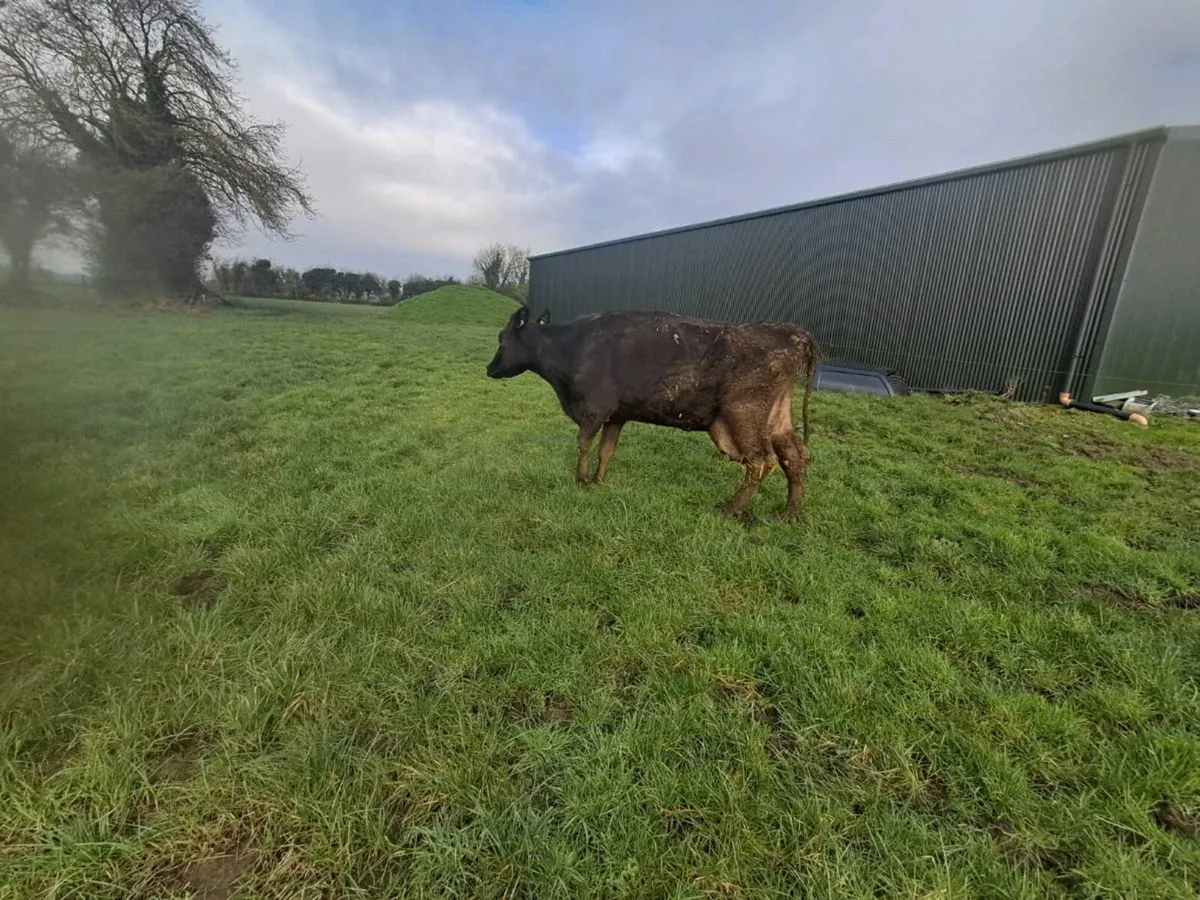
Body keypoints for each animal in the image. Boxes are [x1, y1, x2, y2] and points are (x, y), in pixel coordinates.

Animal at [485, 305, 819, 522]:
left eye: (502, 339)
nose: (490, 368)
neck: (571, 348)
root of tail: (794, 332)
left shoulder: (594, 409)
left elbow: (583, 445)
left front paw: (581, 481)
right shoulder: (617, 415)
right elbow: (606, 450)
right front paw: (599, 482)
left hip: (743, 413)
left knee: (762, 460)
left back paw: (731, 509)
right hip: (776, 417)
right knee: (793, 456)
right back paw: (790, 513)